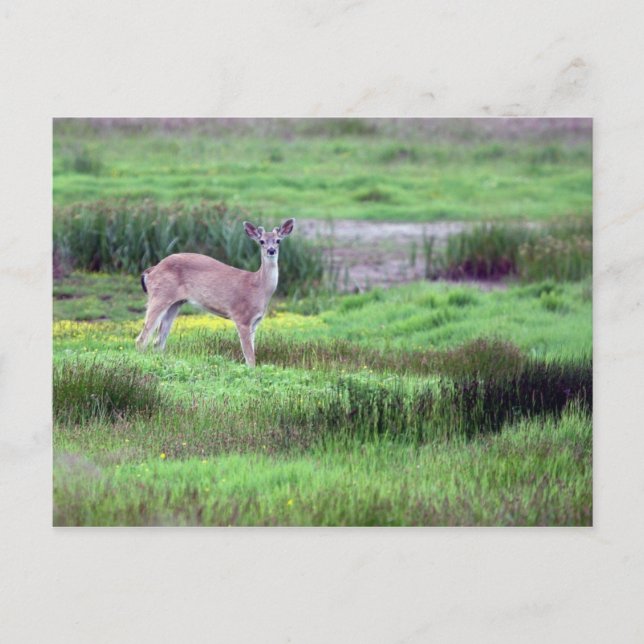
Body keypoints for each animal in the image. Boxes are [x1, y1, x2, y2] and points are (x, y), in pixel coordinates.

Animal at [135, 218, 295, 366]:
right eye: (261, 241)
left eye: (278, 240)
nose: (271, 250)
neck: (258, 288)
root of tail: (151, 271)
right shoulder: (241, 317)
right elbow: (250, 358)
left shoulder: (255, 322)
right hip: (159, 295)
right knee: (142, 339)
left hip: (176, 303)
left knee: (158, 341)